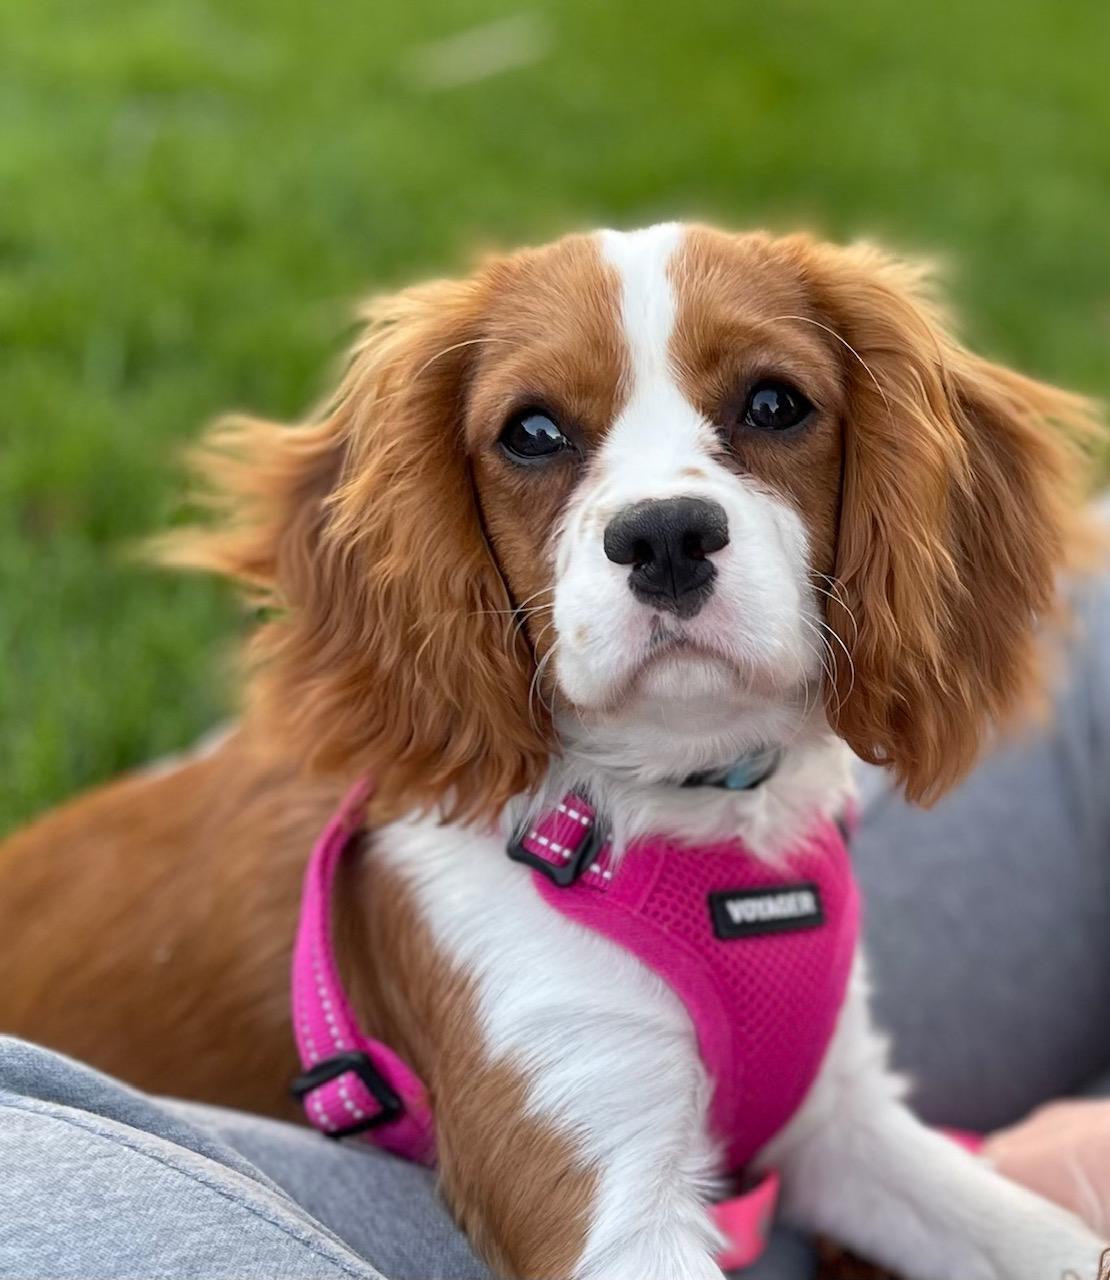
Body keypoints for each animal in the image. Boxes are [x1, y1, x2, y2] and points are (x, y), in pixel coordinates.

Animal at [1, 222, 1105, 1279]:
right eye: (530, 432)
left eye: (775, 403)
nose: (664, 536)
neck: (674, 815)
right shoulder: (598, 1180)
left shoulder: (845, 1124)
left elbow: (1041, 1234)